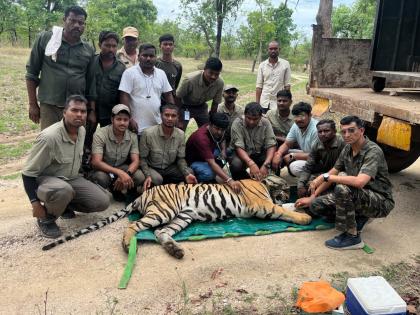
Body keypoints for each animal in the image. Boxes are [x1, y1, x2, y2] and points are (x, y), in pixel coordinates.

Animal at [42, 175, 312, 256]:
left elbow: (286, 207)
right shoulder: (261, 206)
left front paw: (301, 205)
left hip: (183, 217)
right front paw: (306, 218)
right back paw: (128, 245)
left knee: (161, 233)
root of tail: (143, 194)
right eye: (284, 184)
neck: (264, 183)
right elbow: (281, 210)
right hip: (164, 210)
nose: (296, 189)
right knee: (134, 227)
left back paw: (175, 250)